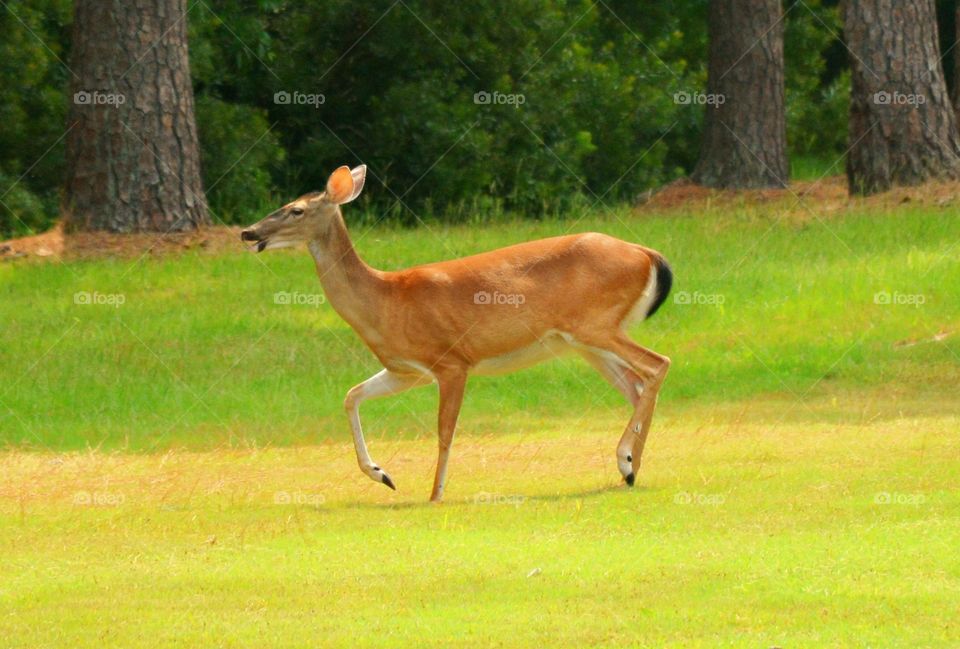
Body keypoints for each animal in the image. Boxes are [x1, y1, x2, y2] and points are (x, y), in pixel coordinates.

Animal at [240, 163, 676, 502]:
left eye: (295, 209)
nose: (248, 232)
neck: (385, 301)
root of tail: (649, 254)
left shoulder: (451, 361)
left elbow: (444, 431)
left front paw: (434, 493)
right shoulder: (406, 370)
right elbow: (351, 396)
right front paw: (383, 475)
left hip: (596, 325)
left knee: (657, 365)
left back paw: (628, 462)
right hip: (584, 341)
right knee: (637, 385)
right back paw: (629, 467)